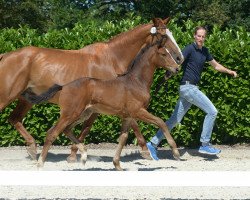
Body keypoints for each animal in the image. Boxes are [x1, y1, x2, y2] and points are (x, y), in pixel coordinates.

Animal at [31, 36, 180, 170]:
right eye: (164, 54)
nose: (177, 68)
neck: (136, 82)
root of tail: (64, 86)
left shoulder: (127, 117)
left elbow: (123, 138)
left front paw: (117, 165)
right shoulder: (138, 111)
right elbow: (161, 122)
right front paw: (176, 152)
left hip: (83, 114)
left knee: (66, 130)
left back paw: (84, 156)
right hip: (71, 113)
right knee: (53, 133)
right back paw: (40, 163)